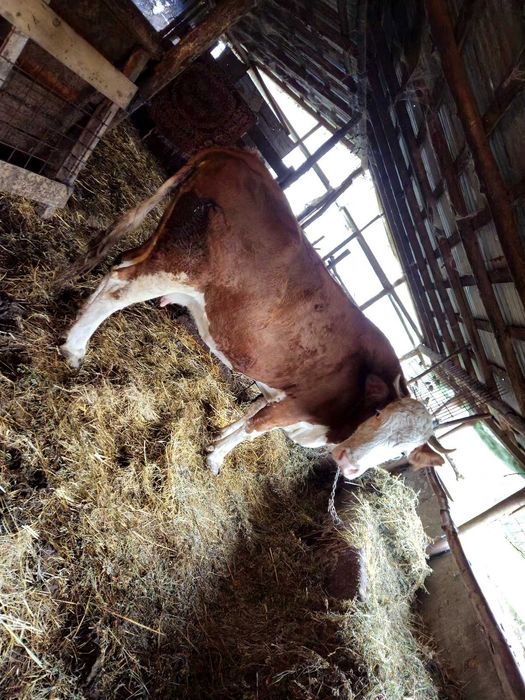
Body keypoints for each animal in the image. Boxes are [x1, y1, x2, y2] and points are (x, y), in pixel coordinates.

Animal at [60, 147, 452, 477]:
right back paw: (74, 348)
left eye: (401, 451)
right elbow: (252, 430)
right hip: (182, 263)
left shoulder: (275, 393)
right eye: (377, 415)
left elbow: (246, 415)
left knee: (118, 263)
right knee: (119, 287)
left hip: (166, 241)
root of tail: (242, 154)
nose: (349, 464)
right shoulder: (294, 405)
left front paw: (216, 438)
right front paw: (216, 458)